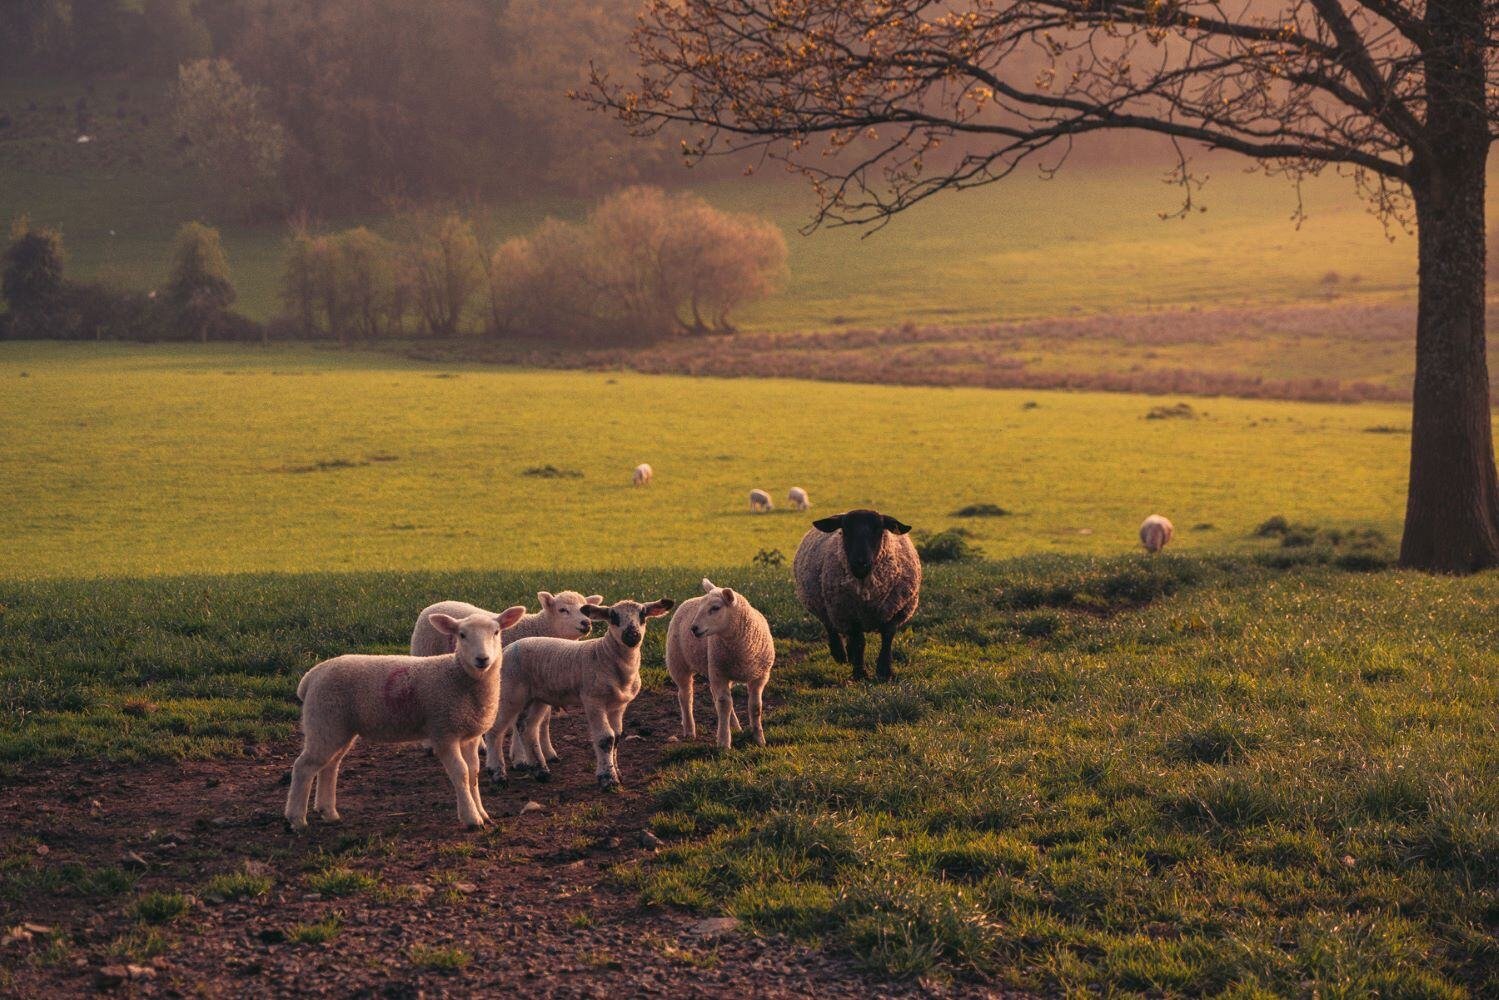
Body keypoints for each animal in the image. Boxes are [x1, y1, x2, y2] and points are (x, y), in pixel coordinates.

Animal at [286, 605, 527, 833]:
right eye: (462, 635)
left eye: (496, 632)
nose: (482, 659)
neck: (459, 677)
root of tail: (311, 676)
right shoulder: (443, 732)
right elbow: (461, 773)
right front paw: (471, 818)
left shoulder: (469, 735)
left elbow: (473, 773)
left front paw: (483, 814)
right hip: (324, 720)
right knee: (304, 767)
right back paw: (297, 820)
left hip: (337, 727)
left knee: (330, 766)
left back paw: (329, 813)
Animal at [410, 593, 602, 767]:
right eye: (563, 610)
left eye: (584, 608)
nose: (586, 623)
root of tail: (436, 604)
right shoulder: (516, 683)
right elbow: (517, 721)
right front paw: (520, 758)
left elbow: (544, 720)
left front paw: (548, 752)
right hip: (423, 652)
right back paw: (429, 745)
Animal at [485, 599, 674, 791]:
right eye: (613, 617)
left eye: (643, 615)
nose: (632, 635)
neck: (604, 654)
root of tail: (507, 648)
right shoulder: (593, 700)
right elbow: (606, 738)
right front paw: (608, 779)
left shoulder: (618, 705)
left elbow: (617, 737)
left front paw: (618, 774)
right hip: (509, 692)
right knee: (494, 731)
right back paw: (497, 774)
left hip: (538, 696)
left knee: (527, 728)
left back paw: (541, 771)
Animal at [671, 575, 779, 746]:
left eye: (715, 608)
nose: (693, 628)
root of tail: (689, 599)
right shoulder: (719, 673)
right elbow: (724, 705)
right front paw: (723, 741)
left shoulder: (760, 676)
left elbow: (755, 707)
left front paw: (759, 740)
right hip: (678, 662)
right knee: (685, 695)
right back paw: (689, 730)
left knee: (717, 696)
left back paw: (734, 726)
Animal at [791, 512, 917, 683]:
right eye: (845, 529)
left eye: (878, 529)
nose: (860, 563)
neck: (867, 592)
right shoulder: (848, 613)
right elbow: (859, 642)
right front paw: (860, 674)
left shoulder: (895, 611)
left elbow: (887, 638)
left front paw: (884, 672)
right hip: (827, 607)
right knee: (830, 627)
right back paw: (840, 655)